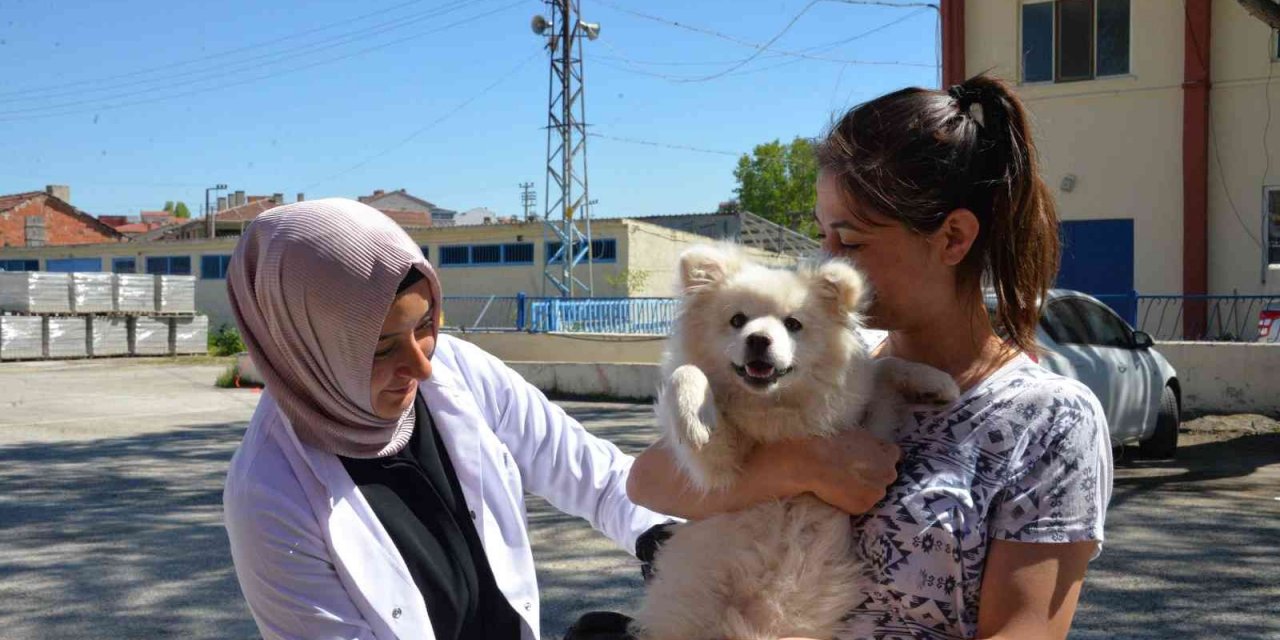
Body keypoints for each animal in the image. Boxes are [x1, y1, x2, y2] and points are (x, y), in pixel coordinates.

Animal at [634, 244, 957, 640]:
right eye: (737, 320)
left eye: (793, 324)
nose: (758, 339)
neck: (774, 411)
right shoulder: (719, 465)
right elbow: (687, 373)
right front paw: (694, 416)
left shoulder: (862, 426)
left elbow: (885, 367)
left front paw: (936, 382)